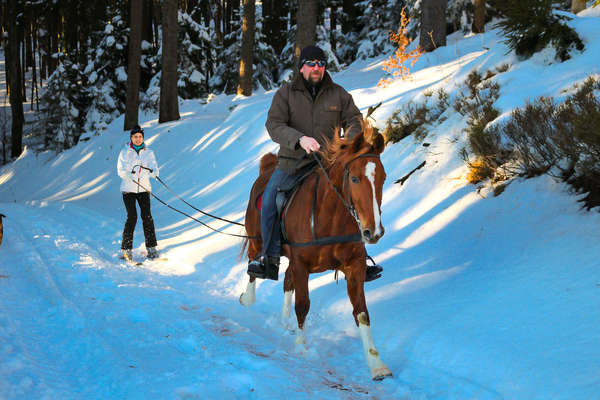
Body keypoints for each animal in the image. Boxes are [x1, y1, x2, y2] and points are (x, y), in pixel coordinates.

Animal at [239, 122, 394, 382]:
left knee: (287, 281)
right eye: (354, 178)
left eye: (382, 178)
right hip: (257, 241)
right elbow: (303, 304)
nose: (373, 232)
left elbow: (361, 312)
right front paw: (302, 348)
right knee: (253, 266)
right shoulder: (301, 264)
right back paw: (248, 298)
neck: (329, 217)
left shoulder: (354, 266)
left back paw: (285, 322)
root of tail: (267, 168)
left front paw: (376, 364)